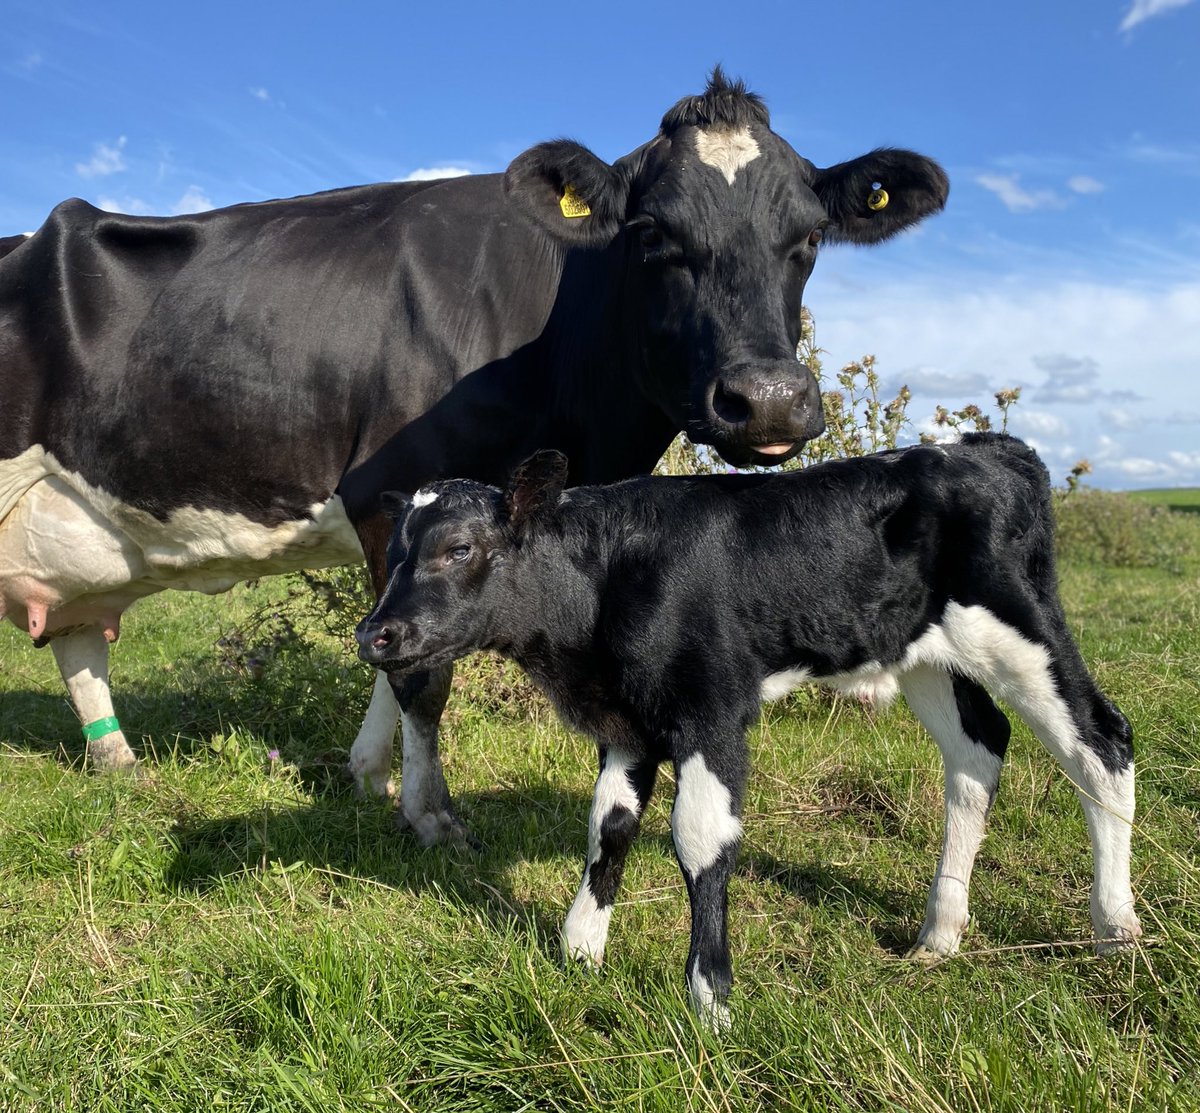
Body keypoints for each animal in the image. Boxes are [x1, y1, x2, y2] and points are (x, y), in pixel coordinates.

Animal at [4, 71, 950, 844]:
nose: (771, 399)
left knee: (80, 643)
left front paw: (368, 775)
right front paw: (430, 814)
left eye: (811, 236)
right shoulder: (389, 483)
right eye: (651, 233)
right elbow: (420, 671)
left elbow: (400, 643)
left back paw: (122, 765)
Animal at [355, 438, 1142, 1031]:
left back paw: (1116, 930)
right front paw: (580, 951)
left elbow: (700, 840)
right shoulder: (628, 719)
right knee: (977, 753)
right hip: (923, 653)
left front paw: (710, 1000)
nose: (375, 633)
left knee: (1102, 745)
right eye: (393, 553)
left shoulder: (712, 710)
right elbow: (608, 824)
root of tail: (990, 447)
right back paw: (940, 934)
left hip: (1022, 627)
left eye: (459, 547)